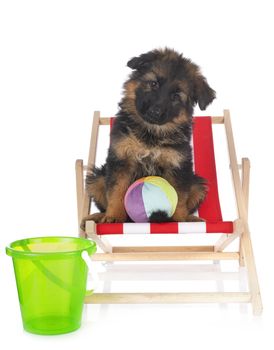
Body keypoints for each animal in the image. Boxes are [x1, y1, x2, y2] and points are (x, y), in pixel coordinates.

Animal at [81, 47, 214, 227]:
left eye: (176, 96)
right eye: (154, 84)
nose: (155, 112)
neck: (151, 133)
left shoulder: (178, 167)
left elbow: (180, 197)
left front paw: (180, 220)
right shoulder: (121, 161)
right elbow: (116, 191)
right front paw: (113, 216)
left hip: (197, 185)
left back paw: (189, 218)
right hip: (97, 179)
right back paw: (98, 217)